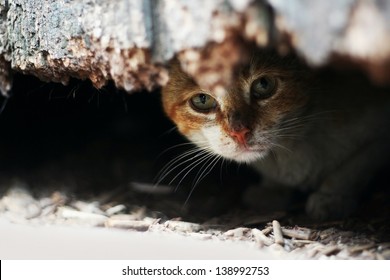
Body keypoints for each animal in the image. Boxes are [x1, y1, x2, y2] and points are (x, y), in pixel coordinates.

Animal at [161, 50, 390, 221]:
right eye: (202, 100)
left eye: (263, 84)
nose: (239, 132)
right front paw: (273, 189)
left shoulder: (377, 135)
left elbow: (351, 169)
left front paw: (332, 197)